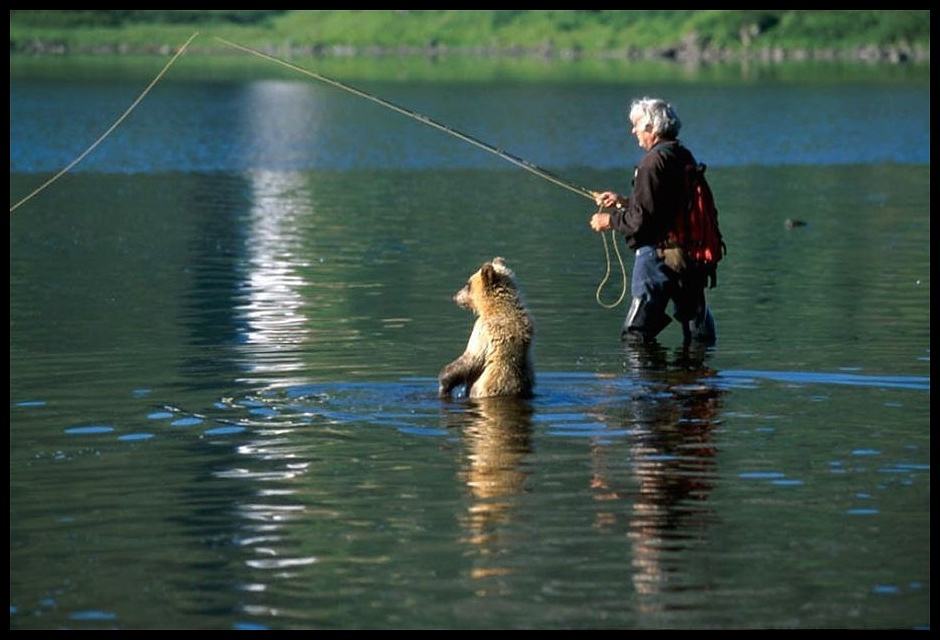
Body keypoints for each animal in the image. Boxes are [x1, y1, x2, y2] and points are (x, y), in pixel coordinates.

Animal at [436, 256, 532, 398]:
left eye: (467, 284)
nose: (455, 296)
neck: (495, 307)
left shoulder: (483, 330)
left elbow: (472, 357)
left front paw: (444, 381)